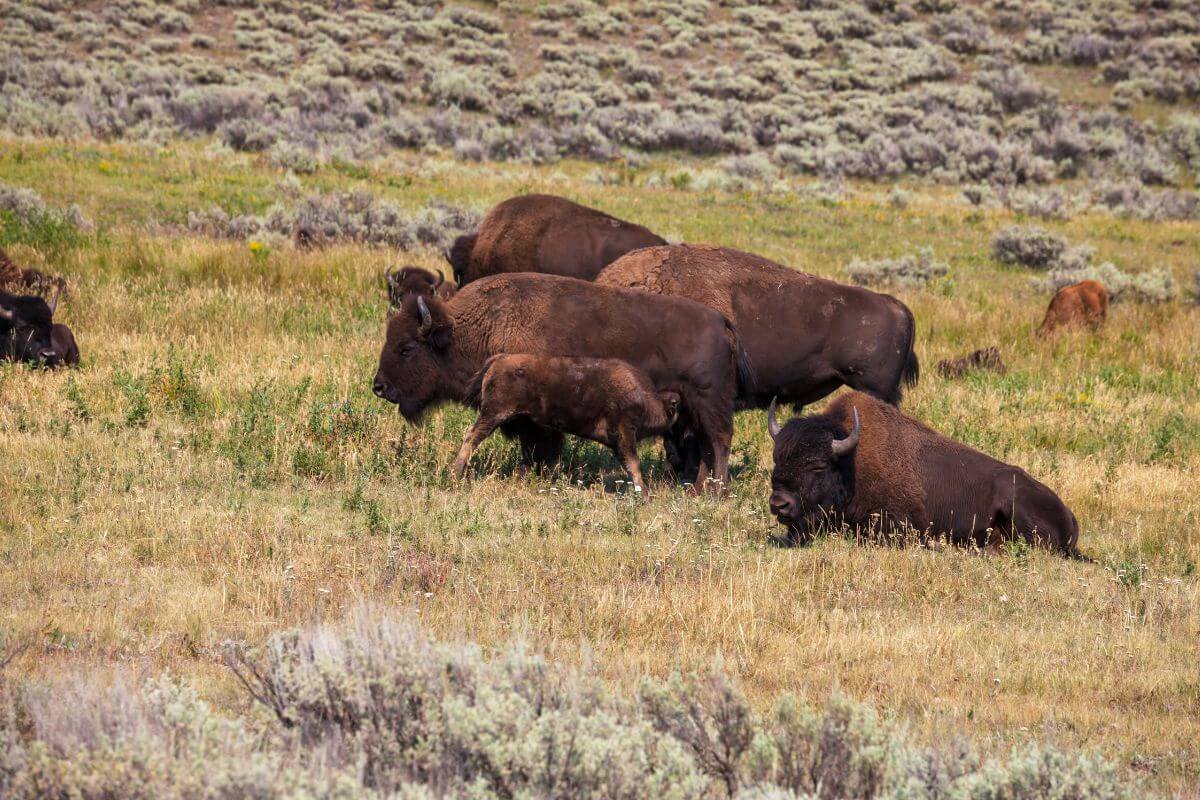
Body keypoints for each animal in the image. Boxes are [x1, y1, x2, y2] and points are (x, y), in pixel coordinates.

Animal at [454, 354, 680, 489]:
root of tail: (499, 359)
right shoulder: (624, 434)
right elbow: (634, 464)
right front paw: (645, 493)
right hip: (493, 414)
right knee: (471, 436)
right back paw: (457, 473)